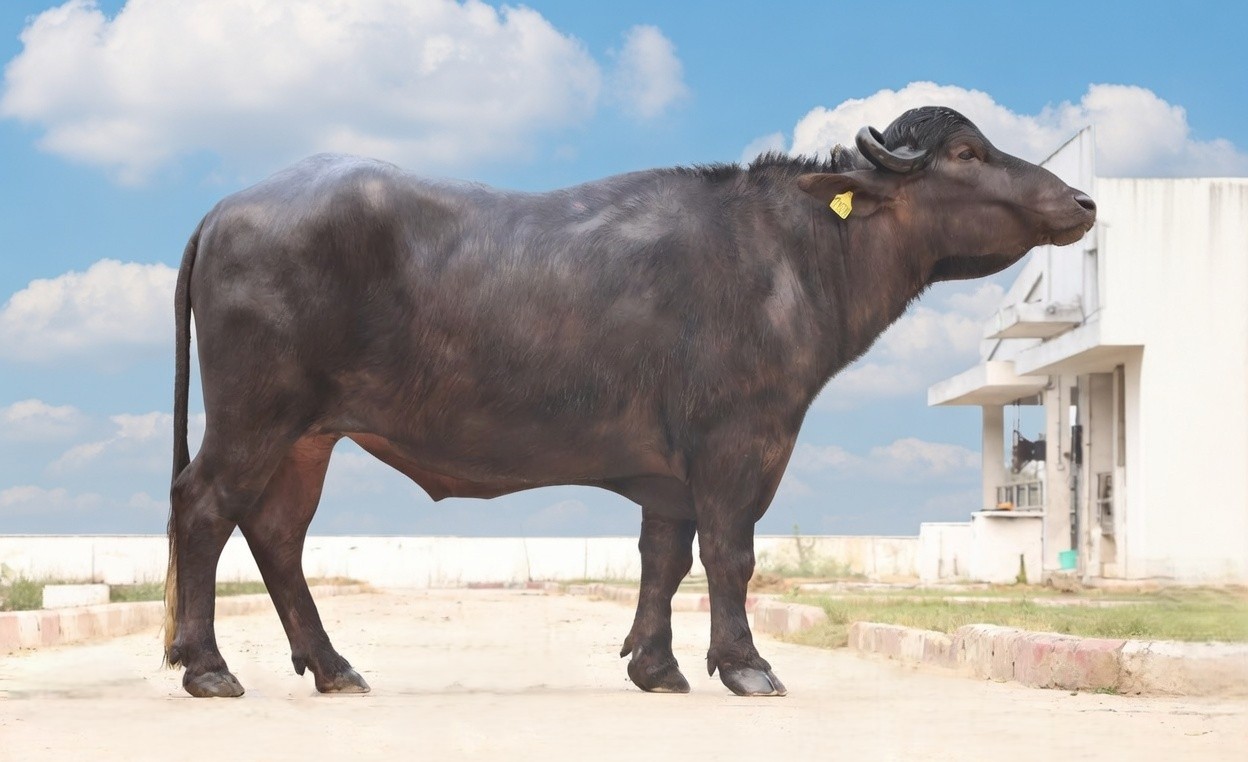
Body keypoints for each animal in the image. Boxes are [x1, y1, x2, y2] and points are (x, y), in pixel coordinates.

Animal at [163, 106, 1095, 698]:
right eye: (967, 155)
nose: (1082, 199)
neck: (792, 256)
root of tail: (228, 208)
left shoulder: (669, 471)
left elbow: (664, 557)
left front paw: (658, 666)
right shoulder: (740, 443)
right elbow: (729, 556)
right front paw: (746, 666)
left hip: (308, 436)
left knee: (276, 535)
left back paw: (333, 667)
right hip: (256, 414)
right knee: (204, 508)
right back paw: (208, 667)